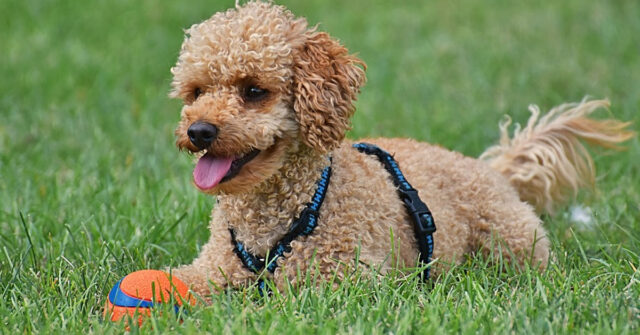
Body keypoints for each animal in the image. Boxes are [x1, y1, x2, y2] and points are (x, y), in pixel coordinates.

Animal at [165, 1, 632, 298]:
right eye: (196, 91)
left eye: (253, 91)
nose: (199, 131)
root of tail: (496, 171)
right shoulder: (212, 268)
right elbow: (184, 282)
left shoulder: (346, 284)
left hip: (512, 245)